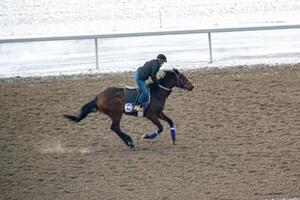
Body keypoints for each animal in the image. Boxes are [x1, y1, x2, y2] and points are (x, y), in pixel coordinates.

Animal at [63, 68, 195, 148]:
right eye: (183, 77)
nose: (192, 86)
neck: (158, 92)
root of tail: (99, 96)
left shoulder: (159, 113)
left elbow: (170, 121)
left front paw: (173, 139)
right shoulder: (151, 115)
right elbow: (161, 128)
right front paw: (146, 136)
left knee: (115, 127)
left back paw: (129, 141)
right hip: (116, 113)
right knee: (114, 127)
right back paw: (130, 142)